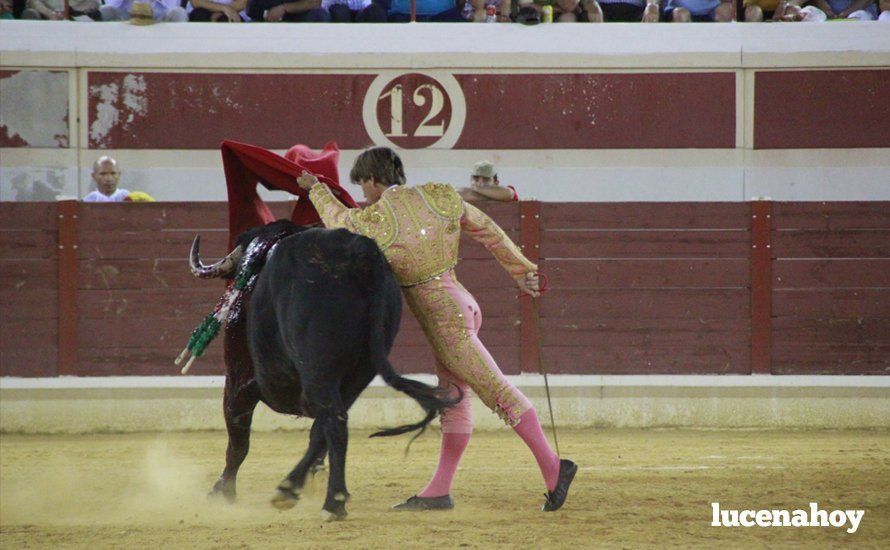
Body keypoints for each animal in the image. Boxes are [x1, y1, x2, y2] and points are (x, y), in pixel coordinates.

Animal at [186, 221, 450, 520]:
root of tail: (360, 252)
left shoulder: (237, 381)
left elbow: (238, 442)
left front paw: (223, 491)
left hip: (316, 371)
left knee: (334, 423)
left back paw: (332, 502)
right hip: (359, 374)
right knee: (326, 426)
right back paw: (291, 488)